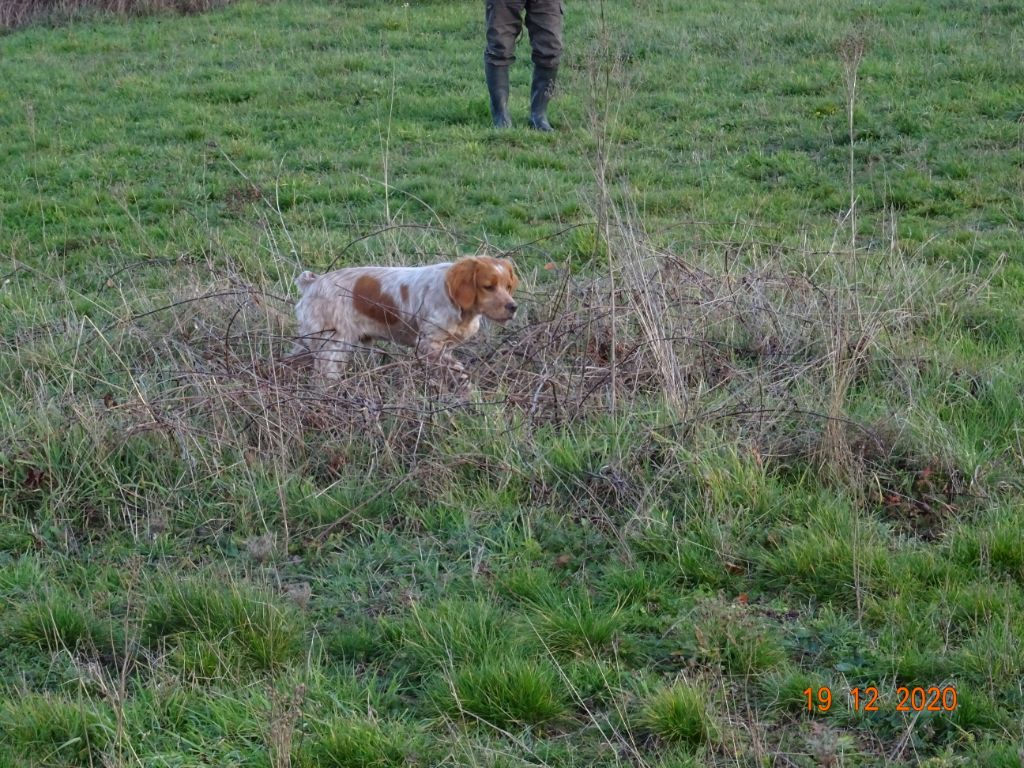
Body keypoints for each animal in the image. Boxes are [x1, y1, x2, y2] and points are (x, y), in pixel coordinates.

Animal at [292, 256, 520, 382]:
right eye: (488, 286)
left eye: (508, 286)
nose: (513, 307)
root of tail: (313, 283)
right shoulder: (428, 344)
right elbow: (455, 370)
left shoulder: (445, 346)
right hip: (333, 348)